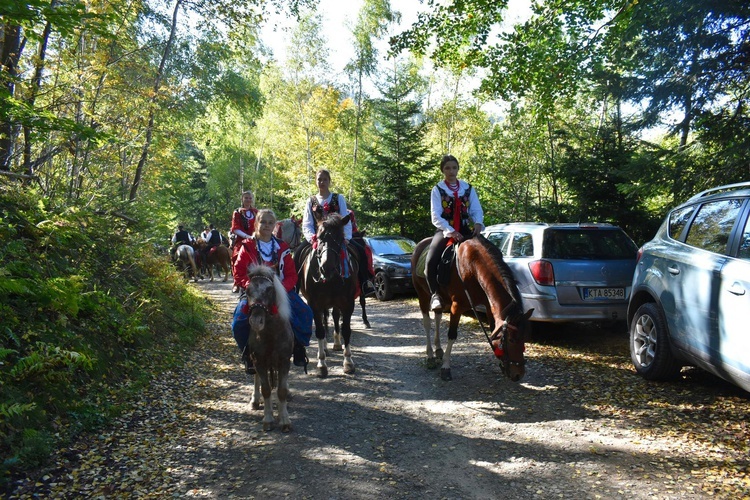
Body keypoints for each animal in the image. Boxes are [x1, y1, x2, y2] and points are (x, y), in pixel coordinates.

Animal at [245, 264, 296, 432]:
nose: (256, 321)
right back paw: (255, 400)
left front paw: (284, 419)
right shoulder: (259, 360)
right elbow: (266, 389)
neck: (271, 333)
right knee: (257, 378)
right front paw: (268, 419)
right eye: (247, 290)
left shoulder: (284, 360)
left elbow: (281, 390)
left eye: (269, 289)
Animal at [298, 213, 360, 376]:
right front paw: (321, 364)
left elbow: (346, 330)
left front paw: (348, 362)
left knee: (335, 317)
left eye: (339, 238)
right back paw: (325, 348)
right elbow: (319, 331)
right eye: (319, 238)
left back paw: (337, 344)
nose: (327, 267)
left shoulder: (347, 303)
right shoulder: (314, 304)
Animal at [412, 236, 536, 380]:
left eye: (525, 338)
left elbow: (493, 330)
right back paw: (430, 356)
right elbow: (452, 335)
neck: (472, 267)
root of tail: (420, 244)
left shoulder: (489, 306)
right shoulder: (456, 306)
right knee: (427, 323)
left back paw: (438, 350)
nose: (518, 375)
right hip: (422, 294)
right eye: (511, 340)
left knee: (437, 317)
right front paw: (446, 367)